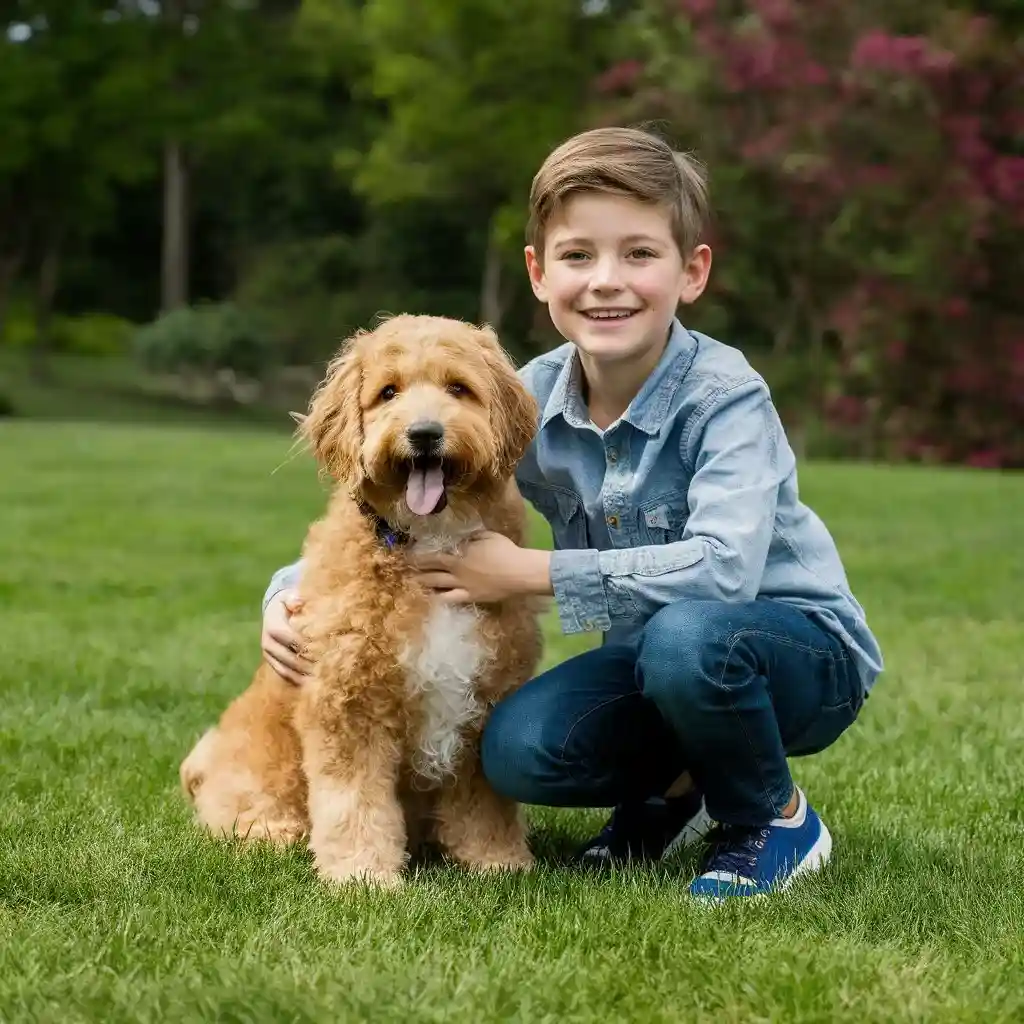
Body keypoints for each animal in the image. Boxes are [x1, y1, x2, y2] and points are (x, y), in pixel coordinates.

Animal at [178, 311, 544, 888]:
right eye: (388, 392)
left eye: (458, 388)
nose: (424, 434)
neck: (426, 543)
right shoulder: (350, 706)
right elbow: (355, 801)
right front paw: (363, 876)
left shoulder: (485, 702)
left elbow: (485, 801)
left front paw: (497, 861)